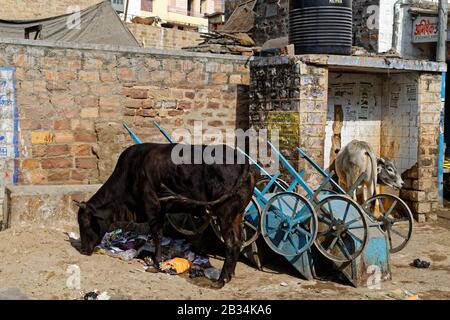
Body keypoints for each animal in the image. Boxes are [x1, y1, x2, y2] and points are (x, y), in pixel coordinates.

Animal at [74, 143, 256, 288]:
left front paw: (156, 264)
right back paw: (230, 274)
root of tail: (243, 162)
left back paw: (221, 280)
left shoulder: (152, 206)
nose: (83, 249)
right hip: (237, 215)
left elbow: (157, 235)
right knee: (238, 242)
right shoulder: (160, 210)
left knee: (231, 243)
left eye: (85, 223)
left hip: (225, 215)